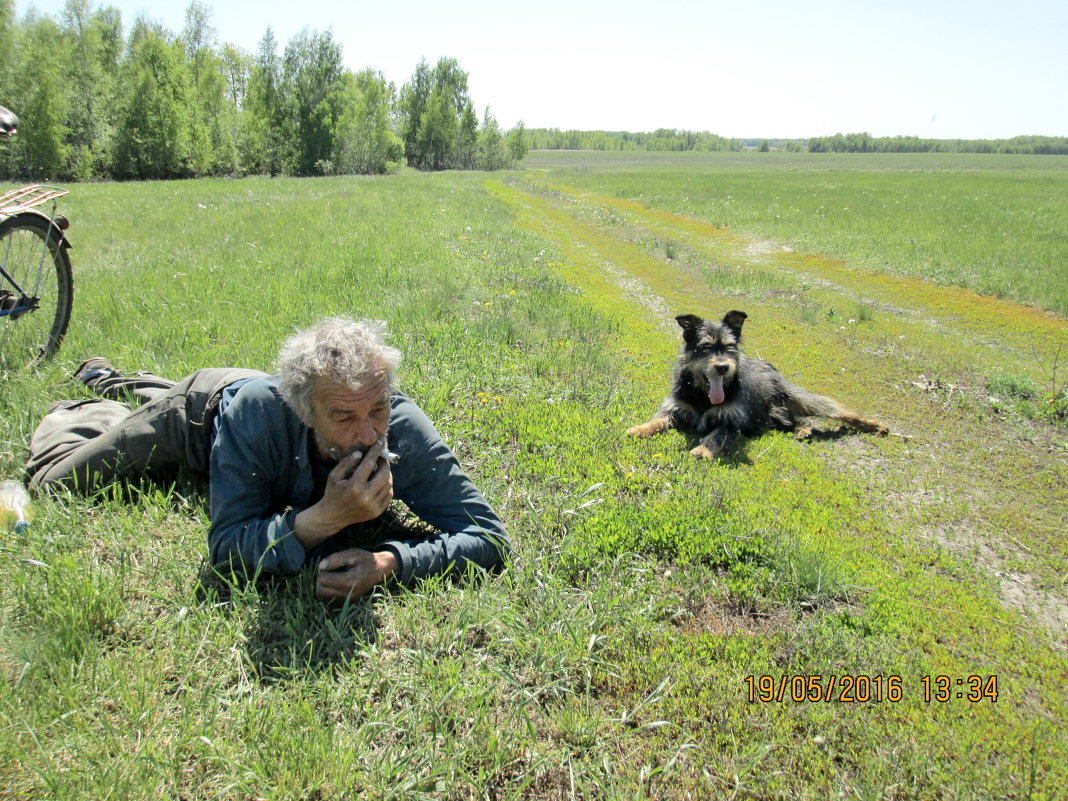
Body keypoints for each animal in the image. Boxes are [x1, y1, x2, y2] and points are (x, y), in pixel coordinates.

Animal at [623, 311, 884, 461]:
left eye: (730, 347)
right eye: (705, 347)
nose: (723, 367)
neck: (703, 396)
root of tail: (766, 363)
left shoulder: (730, 422)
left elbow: (715, 437)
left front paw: (702, 451)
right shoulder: (677, 408)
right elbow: (658, 419)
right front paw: (640, 429)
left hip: (799, 398)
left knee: (839, 411)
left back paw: (875, 425)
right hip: (774, 415)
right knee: (794, 420)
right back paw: (804, 429)